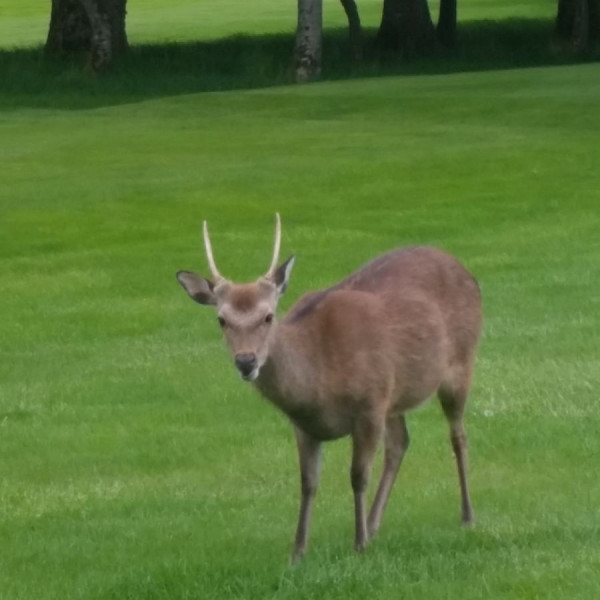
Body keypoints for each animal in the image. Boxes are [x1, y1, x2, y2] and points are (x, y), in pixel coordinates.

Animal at [177, 214, 482, 564]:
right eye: (222, 319)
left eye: (268, 316)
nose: (246, 361)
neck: (317, 386)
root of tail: (466, 271)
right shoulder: (305, 424)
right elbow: (308, 483)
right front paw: (298, 551)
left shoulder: (368, 406)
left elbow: (357, 476)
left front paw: (359, 543)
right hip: (394, 394)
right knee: (400, 443)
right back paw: (375, 523)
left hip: (460, 364)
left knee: (458, 436)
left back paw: (466, 516)